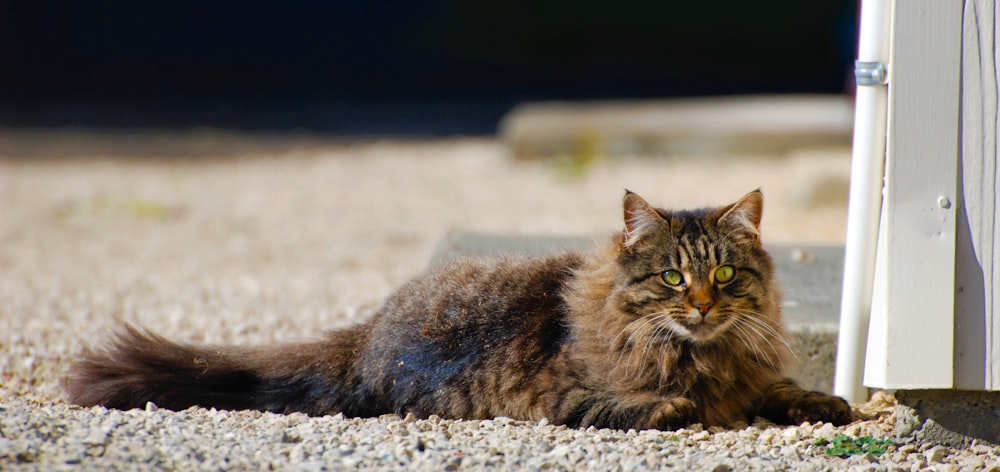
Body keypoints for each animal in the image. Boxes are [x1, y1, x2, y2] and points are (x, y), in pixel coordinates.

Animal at [66, 190, 852, 430]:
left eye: (722, 274)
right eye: (670, 278)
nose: (703, 303)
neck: (702, 351)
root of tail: (365, 334)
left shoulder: (746, 372)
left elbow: (778, 387)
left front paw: (824, 400)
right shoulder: (569, 397)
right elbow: (647, 403)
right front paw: (676, 405)